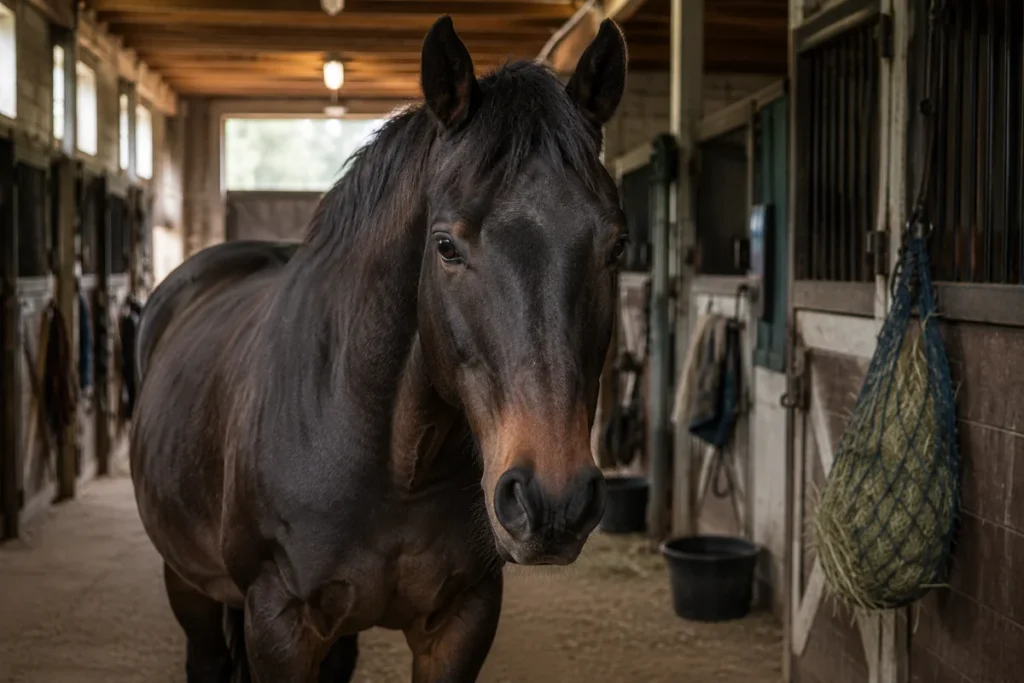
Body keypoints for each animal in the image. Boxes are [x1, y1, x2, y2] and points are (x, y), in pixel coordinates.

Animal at [130, 16, 628, 683]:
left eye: (617, 247)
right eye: (445, 246)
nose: (554, 501)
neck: (397, 468)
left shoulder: (463, 619)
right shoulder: (278, 625)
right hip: (189, 586)